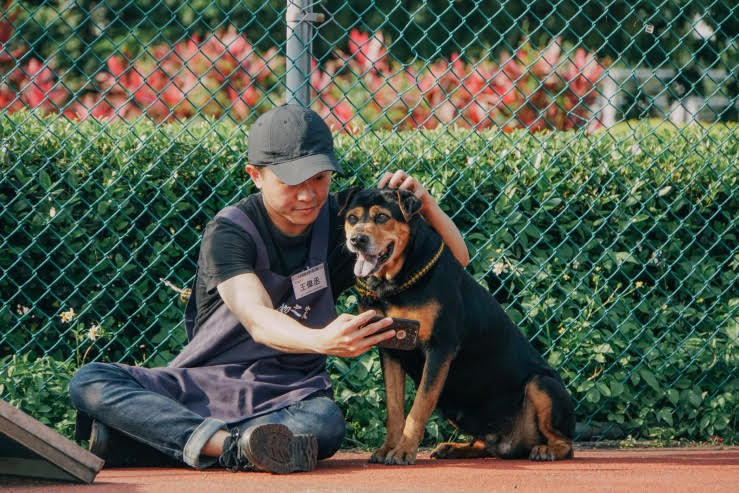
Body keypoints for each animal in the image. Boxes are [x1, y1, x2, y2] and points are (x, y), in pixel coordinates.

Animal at [342, 186, 580, 464]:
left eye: (381, 217)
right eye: (352, 218)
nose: (357, 240)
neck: (394, 284)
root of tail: (514, 444)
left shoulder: (440, 347)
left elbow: (418, 407)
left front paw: (403, 451)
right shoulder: (390, 348)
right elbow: (394, 408)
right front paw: (387, 448)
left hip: (542, 384)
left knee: (566, 443)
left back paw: (547, 450)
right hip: (457, 406)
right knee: (486, 443)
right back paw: (454, 448)